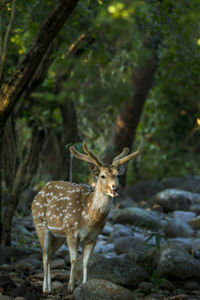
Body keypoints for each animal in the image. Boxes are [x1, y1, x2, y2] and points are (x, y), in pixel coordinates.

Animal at [31, 142, 142, 292]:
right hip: (41, 224)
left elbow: (85, 262)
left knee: (50, 254)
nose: (116, 187)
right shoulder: (71, 231)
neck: (88, 218)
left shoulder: (93, 237)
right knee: (45, 255)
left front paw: (84, 285)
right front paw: (70, 286)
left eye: (118, 175)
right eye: (102, 176)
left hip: (58, 235)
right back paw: (45, 289)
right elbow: (73, 259)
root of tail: (39, 191)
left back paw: (49, 287)